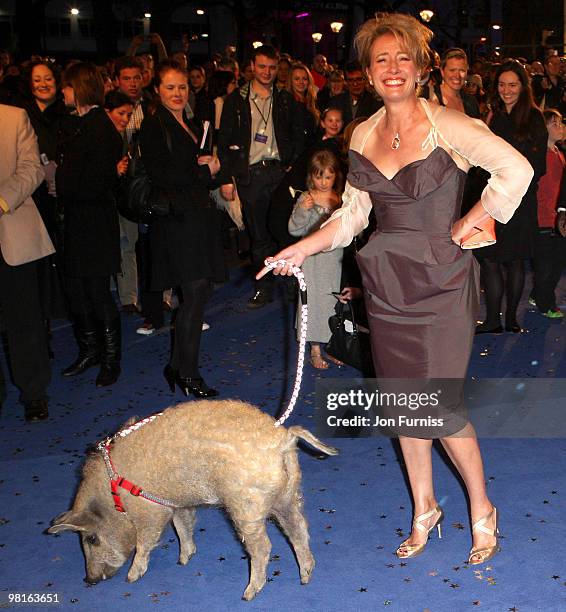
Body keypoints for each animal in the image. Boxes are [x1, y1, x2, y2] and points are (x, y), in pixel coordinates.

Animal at [47, 400, 338, 600]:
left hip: (246, 506)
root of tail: (282, 439)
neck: (115, 494)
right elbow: (183, 527)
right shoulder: (178, 504)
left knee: (263, 547)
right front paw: (184, 560)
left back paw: (248, 593)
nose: (89, 579)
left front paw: (132, 578)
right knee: (299, 530)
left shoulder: (151, 512)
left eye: (91, 539)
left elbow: (145, 542)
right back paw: (305, 577)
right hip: (287, 495)